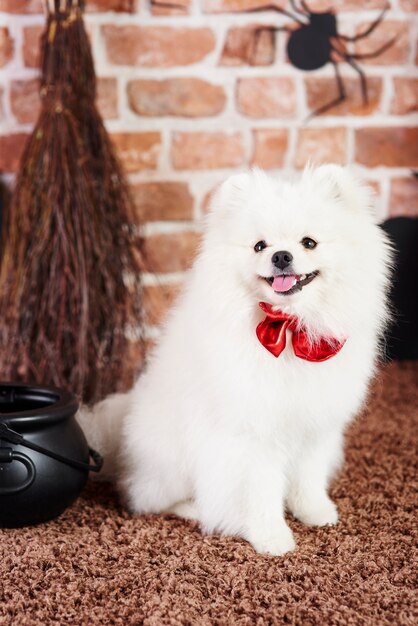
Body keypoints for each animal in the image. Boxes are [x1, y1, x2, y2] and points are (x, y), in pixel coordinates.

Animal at [78, 163, 392, 552]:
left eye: (309, 242)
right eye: (260, 246)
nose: (281, 256)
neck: (289, 329)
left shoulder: (313, 425)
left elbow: (308, 476)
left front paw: (315, 512)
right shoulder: (252, 435)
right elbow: (259, 492)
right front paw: (272, 537)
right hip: (171, 462)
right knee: (143, 497)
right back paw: (193, 509)